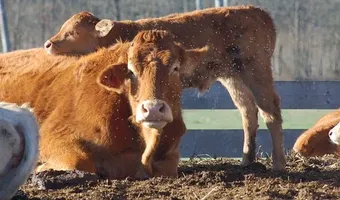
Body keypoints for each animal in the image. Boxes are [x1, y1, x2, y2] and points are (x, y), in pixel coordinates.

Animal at [0, 30, 206, 179]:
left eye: (175, 68)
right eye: (131, 71)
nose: (153, 109)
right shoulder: (54, 134)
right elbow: (79, 161)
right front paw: (41, 167)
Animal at [43, 4, 286, 170]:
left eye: (74, 32)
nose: (48, 44)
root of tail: (258, 12)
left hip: (257, 74)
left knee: (271, 112)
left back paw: (278, 164)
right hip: (234, 79)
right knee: (248, 112)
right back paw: (246, 160)